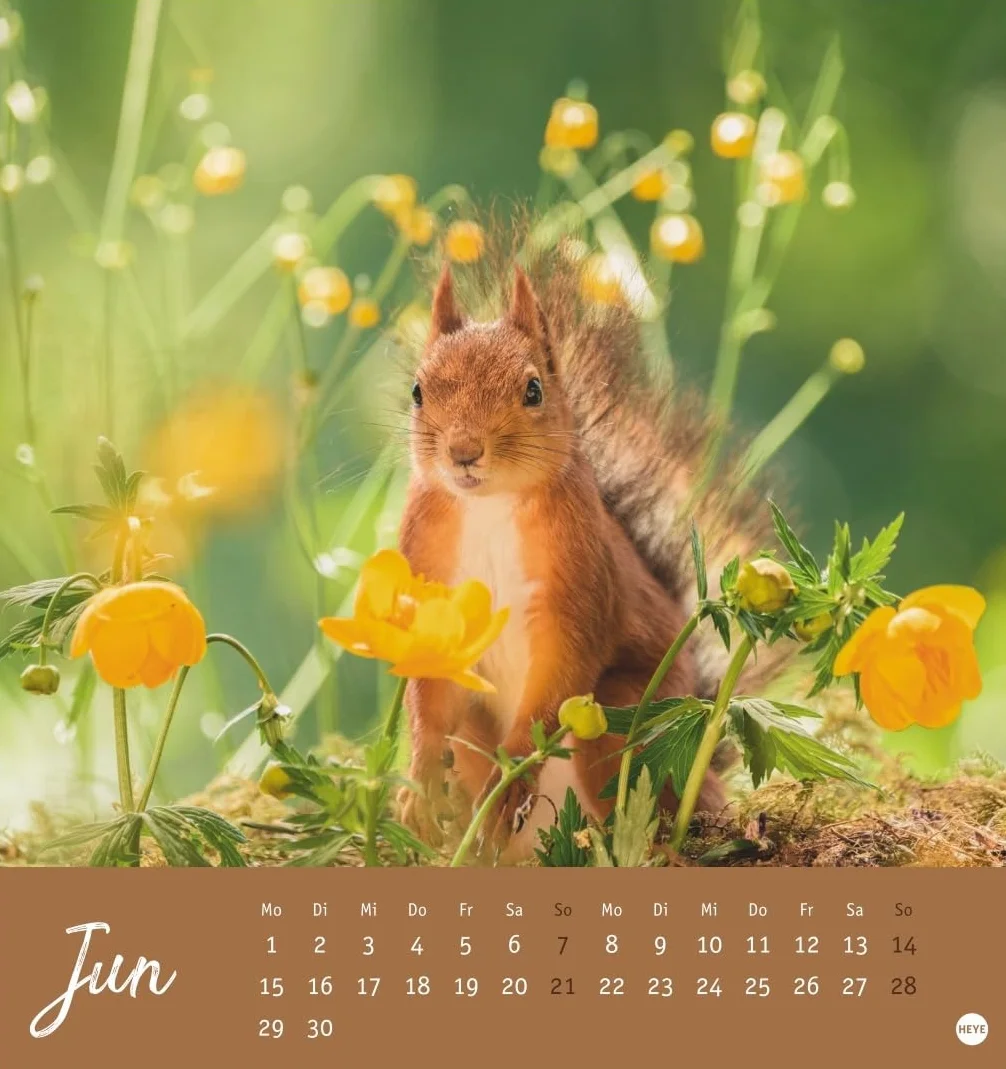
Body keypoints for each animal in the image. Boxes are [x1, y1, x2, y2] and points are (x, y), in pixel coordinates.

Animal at [398, 237, 773, 861]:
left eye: (533, 390)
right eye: (418, 392)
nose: (464, 451)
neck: (490, 507)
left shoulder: (578, 584)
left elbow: (561, 670)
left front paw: (514, 774)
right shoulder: (429, 571)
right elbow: (429, 686)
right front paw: (419, 782)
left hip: (624, 722)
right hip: (478, 730)